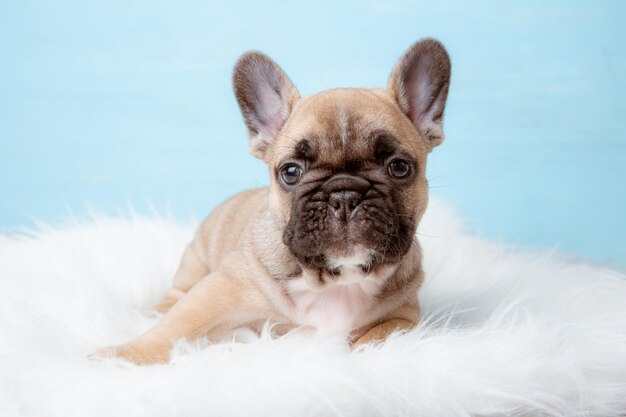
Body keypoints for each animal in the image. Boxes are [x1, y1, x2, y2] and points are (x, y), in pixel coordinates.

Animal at [96, 39, 448, 364]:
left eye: (399, 167)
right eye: (290, 172)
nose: (344, 194)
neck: (335, 280)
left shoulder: (403, 316)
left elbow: (378, 338)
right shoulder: (219, 290)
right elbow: (175, 327)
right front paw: (119, 358)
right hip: (193, 264)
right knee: (175, 300)